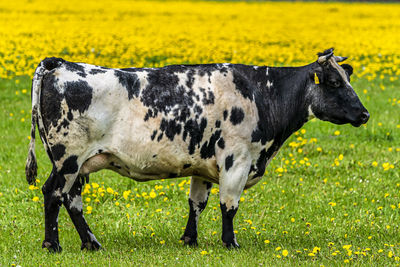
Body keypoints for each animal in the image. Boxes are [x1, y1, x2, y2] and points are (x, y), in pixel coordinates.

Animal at [24, 48, 368, 253]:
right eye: (334, 82)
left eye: (347, 78)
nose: (364, 114)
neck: (263, 94)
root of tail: (61, 64)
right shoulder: (237, 158)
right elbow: (229, 205)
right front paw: (231, 243)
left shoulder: (203, 165)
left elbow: (197, 203)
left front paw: (190, 239)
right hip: (68, 158)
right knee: (53, 193)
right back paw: (52, 244)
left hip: (79, 162)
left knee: (72, 200)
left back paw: (91, 243)